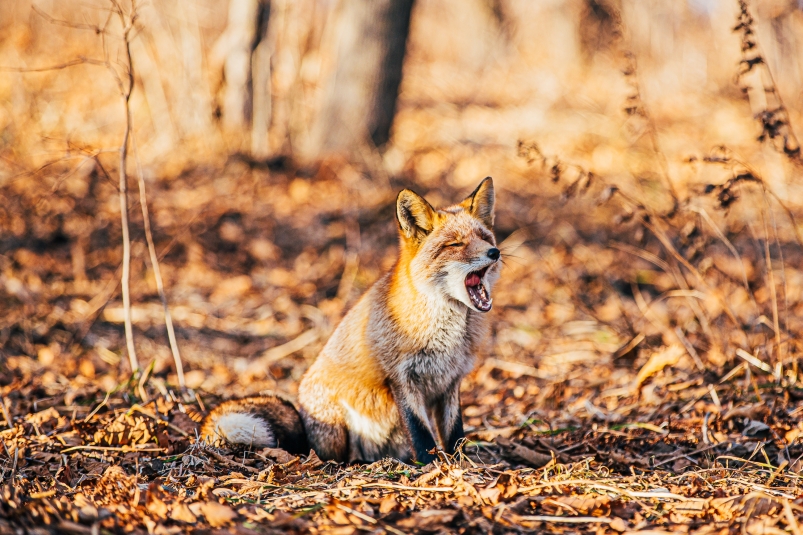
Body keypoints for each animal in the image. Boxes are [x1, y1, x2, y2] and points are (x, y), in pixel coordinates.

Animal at [201, 177, 500, 464]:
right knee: (336, 457)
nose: (494, 253)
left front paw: (461, 465)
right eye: (455, 244)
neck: (445, 335)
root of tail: (306, 437)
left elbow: (454, 435)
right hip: (337, 425)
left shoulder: (450, 382)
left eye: (485, 238)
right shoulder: (402, 379)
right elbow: (421, 435)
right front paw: (432, 467)